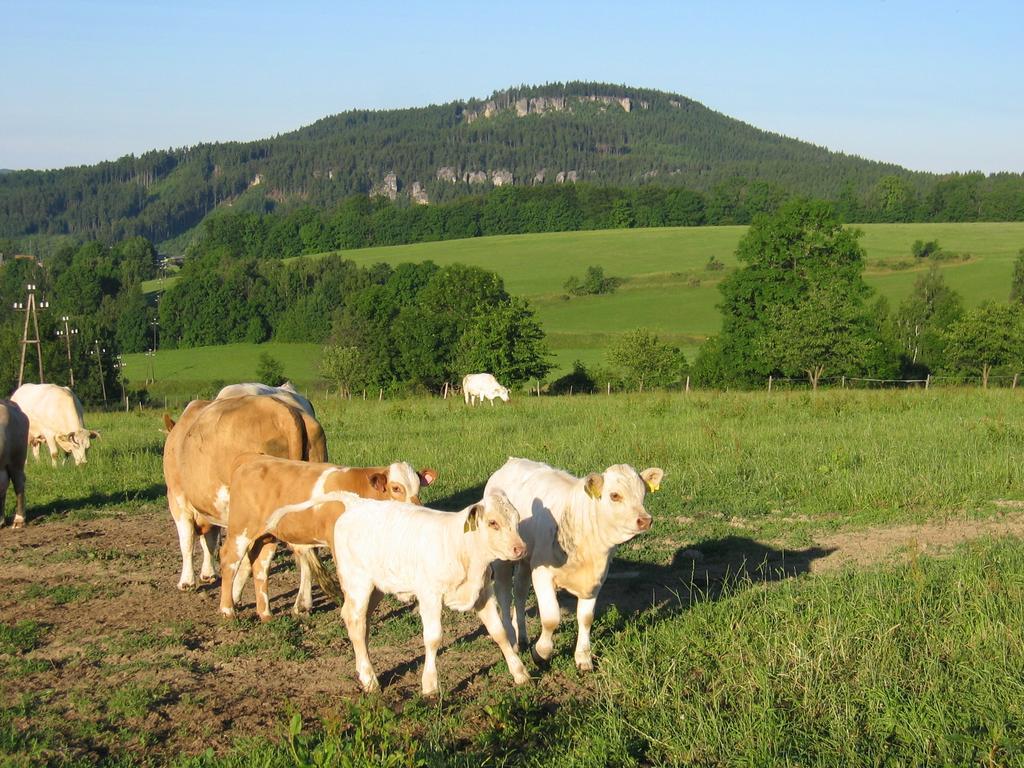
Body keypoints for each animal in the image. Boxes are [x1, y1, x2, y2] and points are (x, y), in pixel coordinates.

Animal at [162, 393, 327, 593]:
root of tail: (284, 412)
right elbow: (209, 541)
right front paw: (208, 573)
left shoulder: (177, 497)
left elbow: (186, 541)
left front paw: (187, 581)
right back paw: (302, 600)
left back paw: (234, 594)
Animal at [220, 454, 436, 622]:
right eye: (396, 488)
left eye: (418, 488)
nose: (417, 508)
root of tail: (251, 460)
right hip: (240, 530)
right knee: (229, 560)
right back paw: (228, 610)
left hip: (266, 536)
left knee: (260, 567)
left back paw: (265, 614)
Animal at [327, 493, 532, 696]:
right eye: (493, 522)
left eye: (517, 519)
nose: (521, 548)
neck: (461, 548)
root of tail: (357, 504)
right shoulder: (429, 595)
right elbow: (433, 638)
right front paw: (430, 685)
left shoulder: (483, 593)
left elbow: (499, 632)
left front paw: (519, 672)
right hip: (358, 584)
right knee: (357, 624)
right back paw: (369, 679)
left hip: (377, 587)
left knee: (362, 622)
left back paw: (362, 670)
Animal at [485, 456, 667, 671]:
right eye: (615, 495)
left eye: (643, 494)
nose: (645, 520)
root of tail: (511, 461)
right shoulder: (543, 573)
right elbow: (551, 618)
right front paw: (541, 653)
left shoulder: (596, 580)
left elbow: (586, 618)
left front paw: (583, 657)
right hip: (502, 560)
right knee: (504, 595)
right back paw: (512, 640)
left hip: (525, 559)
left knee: (520, 592)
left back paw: (521, 637)